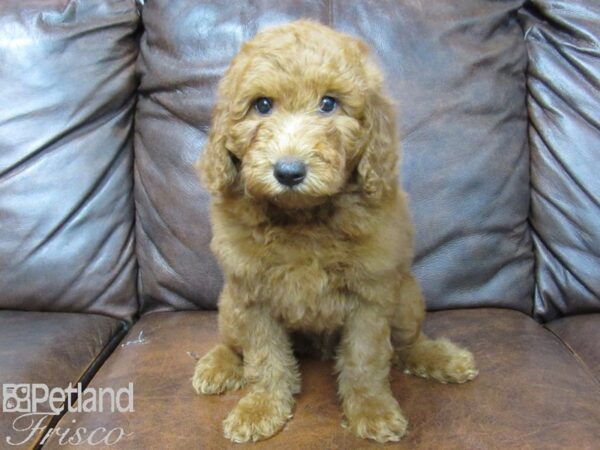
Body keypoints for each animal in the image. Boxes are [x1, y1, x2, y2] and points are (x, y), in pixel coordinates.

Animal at [192, 20, 478, 442]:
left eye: (328, 104)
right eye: (263, 105)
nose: (288, 172)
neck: (303, 217)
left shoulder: (370, 293)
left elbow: (366, 358)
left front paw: (372, 410)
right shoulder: (252, 295)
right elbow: (264, 358)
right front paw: (261, 407)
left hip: (406, 296)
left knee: (406, 343)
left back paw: (441, 358)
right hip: (229, 305)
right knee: (233, 343)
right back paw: (217, 366)